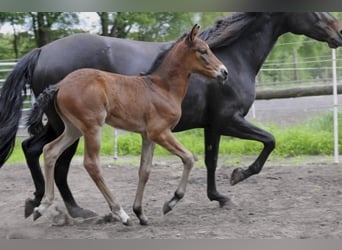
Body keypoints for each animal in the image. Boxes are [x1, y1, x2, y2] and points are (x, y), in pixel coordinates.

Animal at [0, 12, 342, 219]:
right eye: (315, 10)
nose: (338, 33)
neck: (234, 55)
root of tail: (41, 52)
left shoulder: (212, 125)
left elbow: (210, 159)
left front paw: (217, 195)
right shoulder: (228, 120)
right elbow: (267, 142)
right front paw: (234, 180)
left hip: (61, 125)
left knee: (33, 149)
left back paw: (37, 202)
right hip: (73, 126)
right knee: (58, 161)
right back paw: (79, 210)